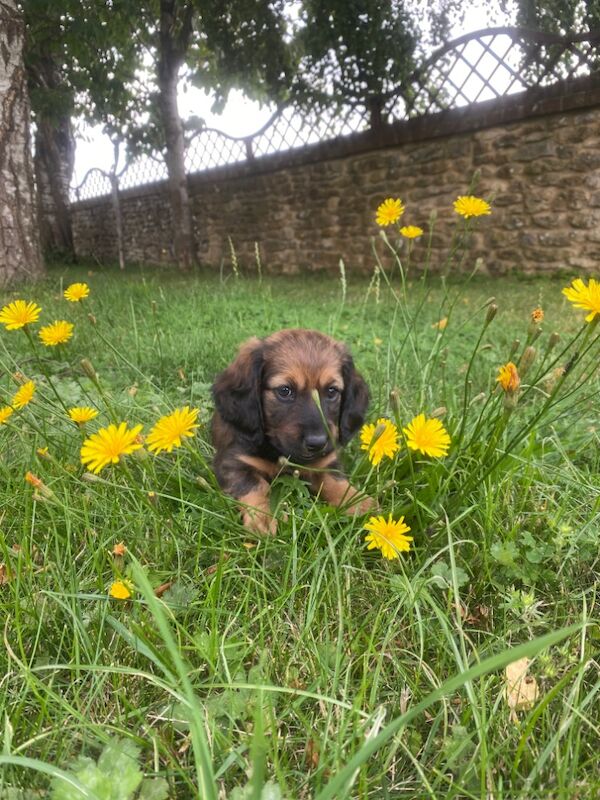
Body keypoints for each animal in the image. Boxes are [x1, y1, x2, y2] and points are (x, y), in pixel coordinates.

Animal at [211, 328, 370, 536]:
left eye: (332, 391)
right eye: (285, 390)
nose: (318, 443)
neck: (279, 451)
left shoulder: (325, 462)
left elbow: (336, 482)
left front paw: (358, 502)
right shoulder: (233, 462)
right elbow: (256, 486)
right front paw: (264, 517)